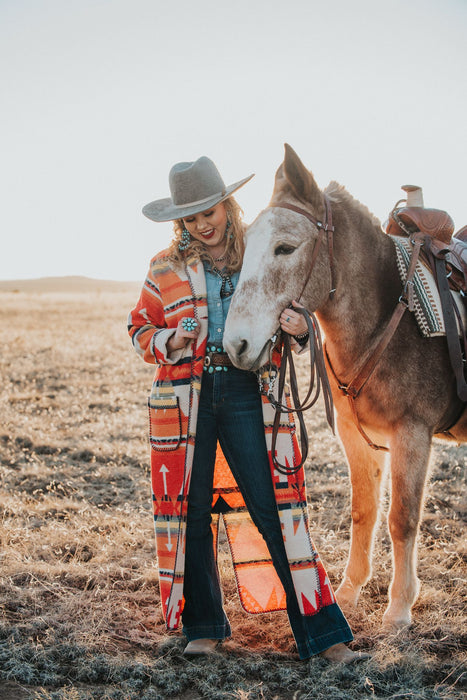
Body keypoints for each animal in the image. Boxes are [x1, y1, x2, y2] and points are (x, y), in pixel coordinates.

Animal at [224, 142, 467, 628]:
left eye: (285, 247)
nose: (236, 344)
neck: (386, 318)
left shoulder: (413, 433)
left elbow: (402, 518)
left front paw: (399, 609)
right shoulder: (355, 436)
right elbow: (363, 511)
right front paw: (350, 591)